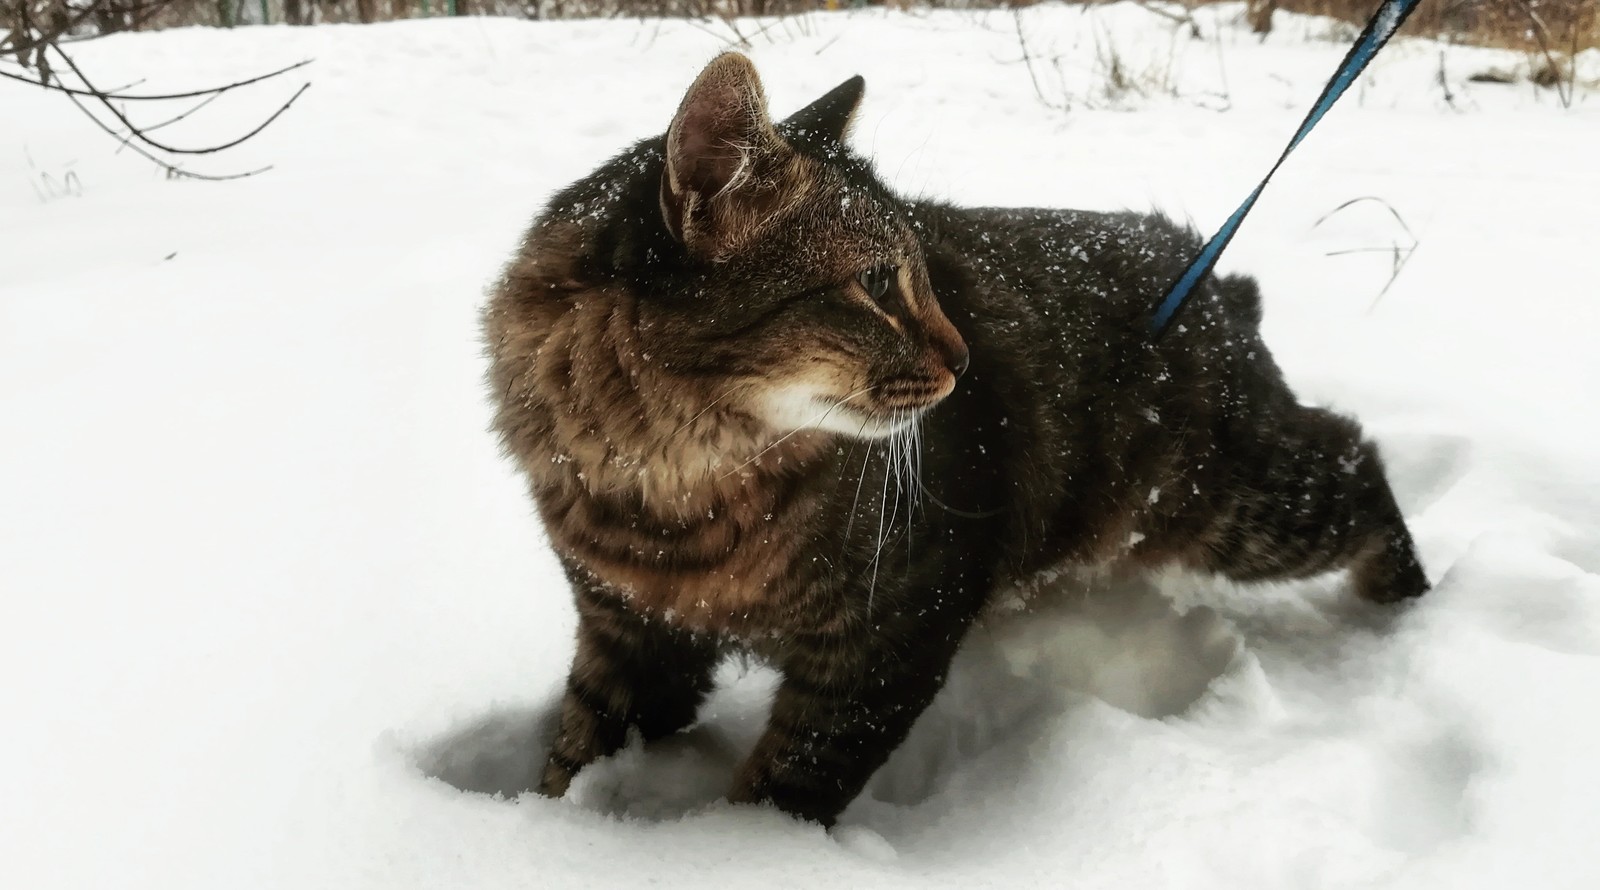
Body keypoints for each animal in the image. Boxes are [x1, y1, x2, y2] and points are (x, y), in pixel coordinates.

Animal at [480, 54, 1433, 825]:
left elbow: (788, 784)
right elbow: (576, 751)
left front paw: (737, 855)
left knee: (1356, 459)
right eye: (874, 283)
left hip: (1234, 504)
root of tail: (1209, 275)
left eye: (926, 274)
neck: (672, 482)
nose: (965, 358)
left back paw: (1407, 610)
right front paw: (537, 834)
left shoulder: (888, 634)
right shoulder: (628, 633)